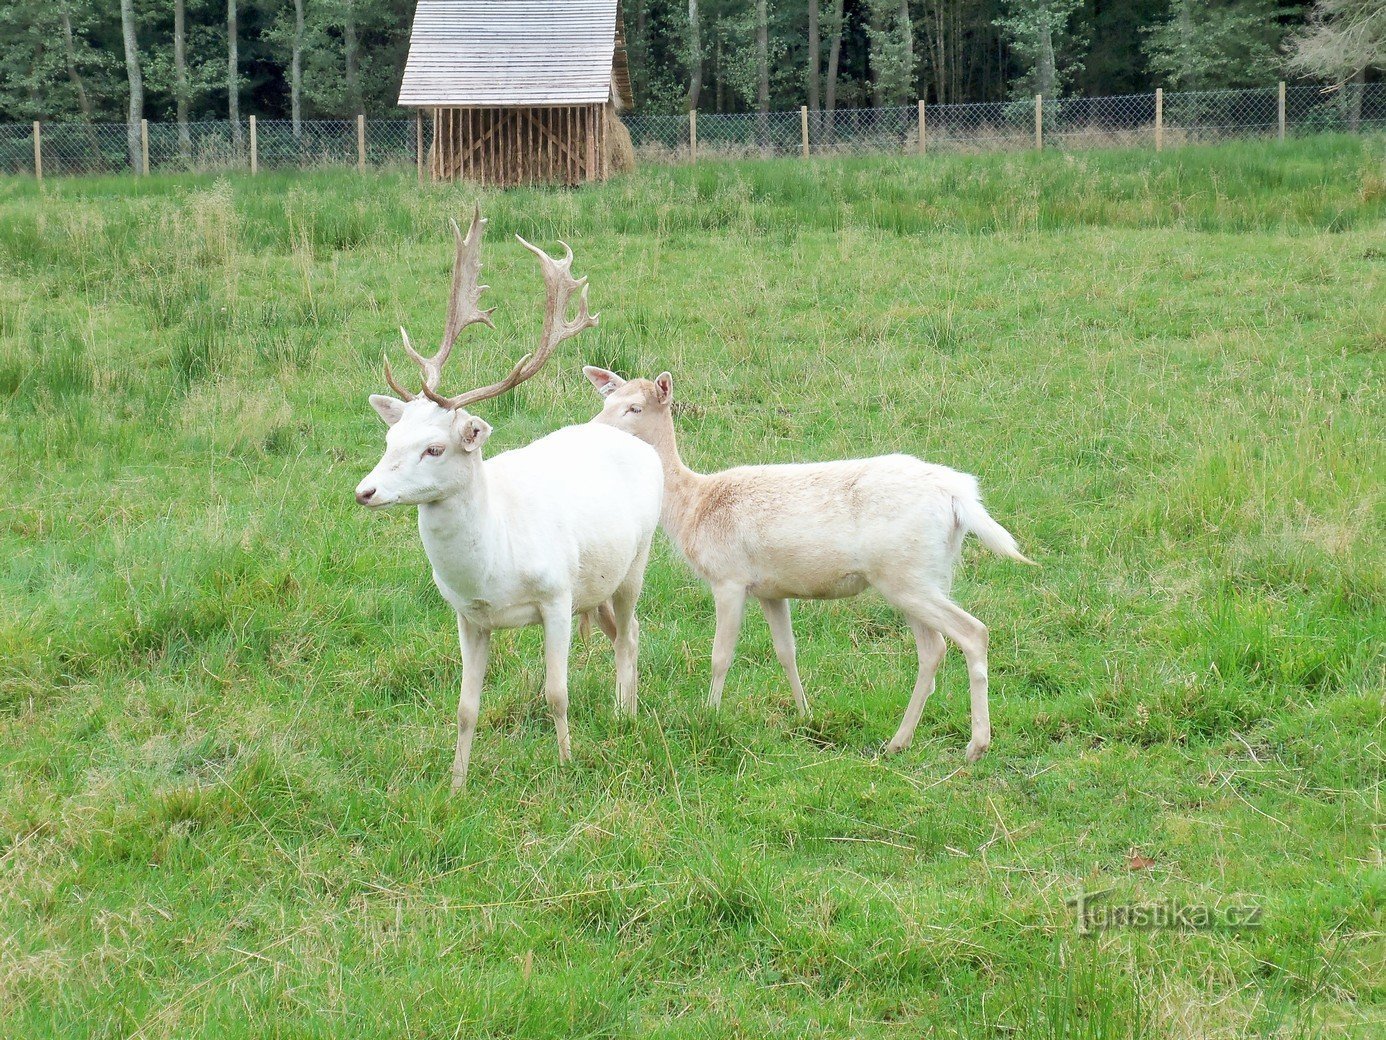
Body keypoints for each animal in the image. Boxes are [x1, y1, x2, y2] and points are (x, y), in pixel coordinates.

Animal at [354, 213, 662, 798]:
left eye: (435, 447)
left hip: (637, 560)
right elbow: (464, 708)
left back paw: (625, 715)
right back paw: (625, 708)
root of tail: (637, 445)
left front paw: (566, 765)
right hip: (598, 582)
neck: (493, 565)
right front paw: (456, 784)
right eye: (390, 438)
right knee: (619, 632)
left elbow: (556, 693)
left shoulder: (557, 595)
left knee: (633, 634)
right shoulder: (467, 616)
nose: (365, 491)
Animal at [582, 368, 1031, 765]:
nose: (592, 428)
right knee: (933, 649)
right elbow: (787, 652)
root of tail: (959, 497)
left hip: (906, 574)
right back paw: (898, 742)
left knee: (973, 632)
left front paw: (709, 714)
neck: (693, 508)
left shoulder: (729, 577)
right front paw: (805, 714)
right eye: (606, 400)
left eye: (636, 407)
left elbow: (720, 654)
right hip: (925, 575)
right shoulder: (770, 590)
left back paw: (976, 746)